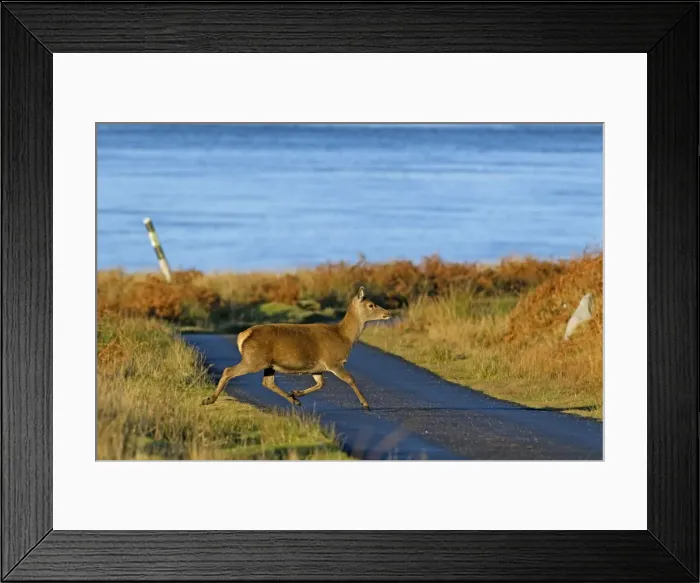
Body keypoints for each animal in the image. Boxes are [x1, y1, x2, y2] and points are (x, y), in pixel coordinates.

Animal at [201, 287, 391, 411]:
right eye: (371, 305)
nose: (387, 313)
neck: (344, 337)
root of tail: (243, 335)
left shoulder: (317, 367)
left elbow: (321, 383)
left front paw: (297, 392)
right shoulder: (333, 361)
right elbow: (350, 379)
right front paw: (366, 404)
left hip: (268, 363)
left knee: (267, 382)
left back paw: (294, 400)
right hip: (253, 359)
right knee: (228, 370)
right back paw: (209, 399)